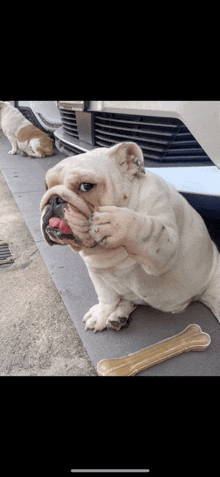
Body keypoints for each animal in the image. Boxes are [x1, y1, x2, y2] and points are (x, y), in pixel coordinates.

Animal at [40, 141, 220, 332]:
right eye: (46, 186)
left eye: (86, 186)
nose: (53, 199)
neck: (107, 250)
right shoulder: (97, 273)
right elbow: (106, 297)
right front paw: (102, 314)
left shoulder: (166, 246)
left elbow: (147, 227)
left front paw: (116, 223)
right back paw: (118, 315)